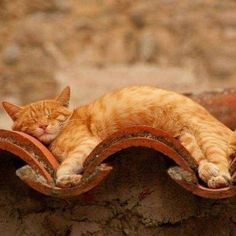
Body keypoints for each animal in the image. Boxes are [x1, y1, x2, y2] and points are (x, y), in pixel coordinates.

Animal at [1, 85, 234, 189]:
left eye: (51, 115)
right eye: (32, 120)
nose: (43, 125)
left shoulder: (87, 144)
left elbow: (62, 169)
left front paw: (66, 178)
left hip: (206, 135)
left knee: (222, 163)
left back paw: (219, 178)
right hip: (186, 139)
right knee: (202, 161)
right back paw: (209, 173)